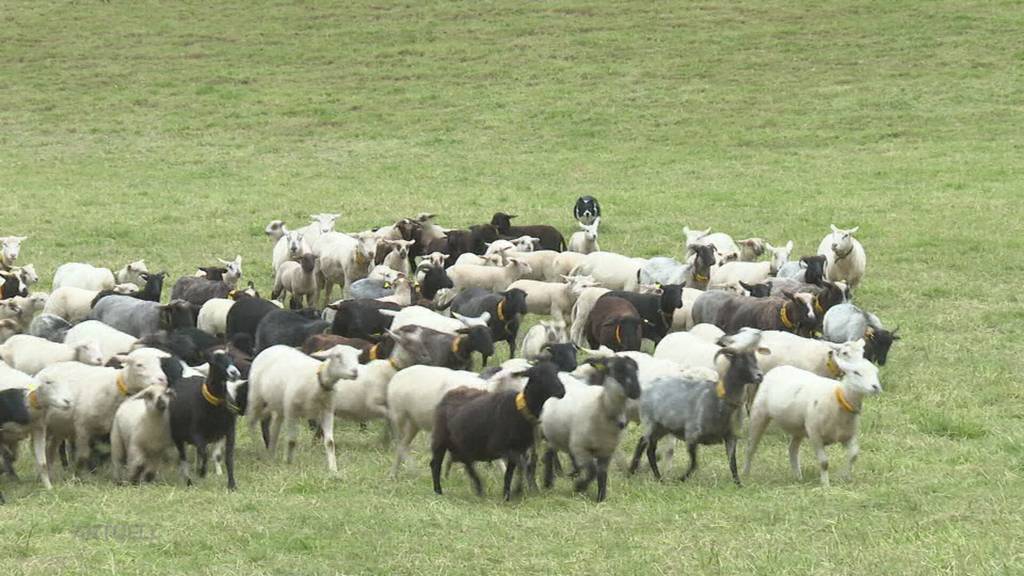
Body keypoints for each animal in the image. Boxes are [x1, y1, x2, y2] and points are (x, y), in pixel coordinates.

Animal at [40, 344, 168, 475]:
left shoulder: (112, 430)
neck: (113, 388)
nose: (162, 379)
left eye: (159, 364)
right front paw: (77, 475)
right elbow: (83, 456)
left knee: (51, 449)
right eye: (139, 365)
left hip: (60, 427)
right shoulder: (82, 427)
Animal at [428, 360, 565, 500]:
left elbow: (510, 474)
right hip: (440, 437)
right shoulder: (499, 447)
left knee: (467, 463)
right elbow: (521, 465)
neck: (520, 410)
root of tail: (448, 394)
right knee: (436, 464)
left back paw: (479, 488)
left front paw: (507, 495)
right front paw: (517, 490)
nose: (562, 391)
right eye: (539, 375)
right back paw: (438, 491)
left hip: (462, 443)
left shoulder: (519, 449)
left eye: (556, 373)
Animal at [540, 356, 634, 500]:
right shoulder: (582, 448)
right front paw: (579, 487)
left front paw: (600, 497)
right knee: (550, 453)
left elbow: (601, 473)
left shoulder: (606, 450)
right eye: (617, 372)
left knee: (553, 452)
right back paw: (549, 482)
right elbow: (593, 471)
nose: (622, 424)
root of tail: (560, 373)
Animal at [626, 336, 765, 483]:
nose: (760, 375)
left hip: (662, 427)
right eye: (740, 360)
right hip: (652, 423)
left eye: (755, 359)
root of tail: (648, 387)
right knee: (648, 448)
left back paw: (637, 472)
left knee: (644, 444)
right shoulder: (692, 435)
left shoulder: (731, 437)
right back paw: (656, 477)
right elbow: (694, 464)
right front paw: (681, 478)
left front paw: (738, 483)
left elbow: (732, 463)